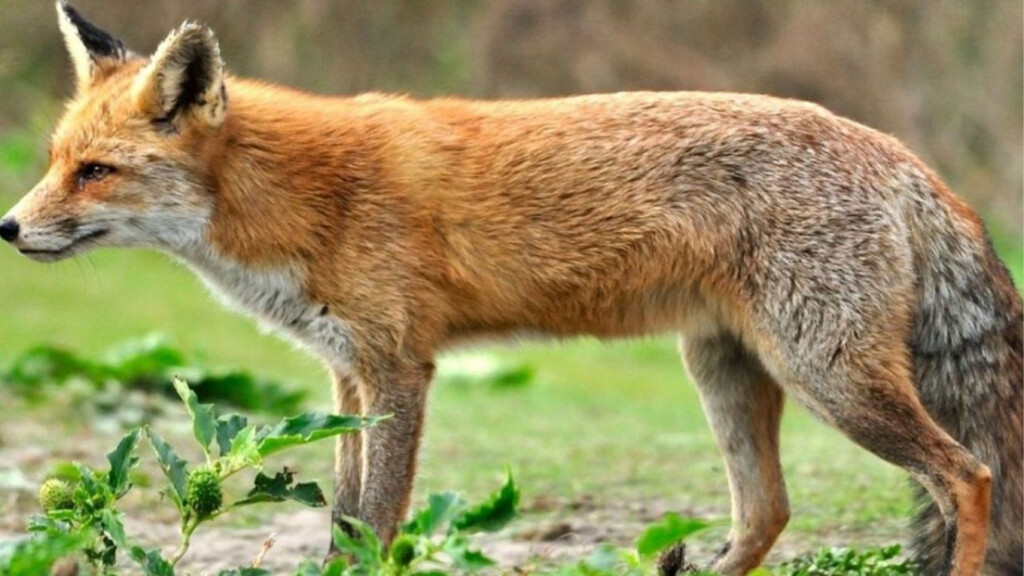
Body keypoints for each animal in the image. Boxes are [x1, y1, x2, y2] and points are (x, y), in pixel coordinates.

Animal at [2, 3, 1021, 575]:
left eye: (95, 172)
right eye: (53, 162)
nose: (8, 229)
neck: (296, 197)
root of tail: (903, 156)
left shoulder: (399, 371)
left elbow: (375, 526)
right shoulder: (345, 378)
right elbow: (341, 524)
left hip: (828, 376)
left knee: (968, 475)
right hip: (726, 370)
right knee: (769, 513)